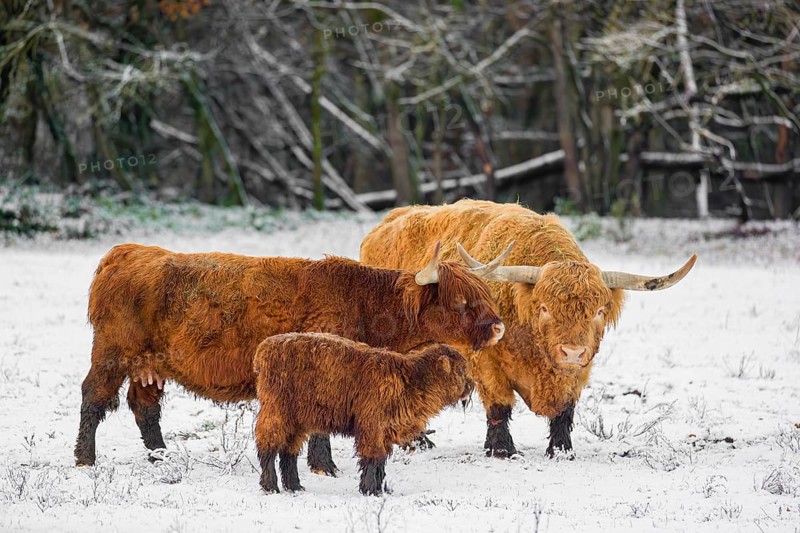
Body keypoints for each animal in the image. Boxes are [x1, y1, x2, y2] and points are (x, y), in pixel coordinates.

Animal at [74, 242, 508, 468]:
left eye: (484, 294)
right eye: (461, 301)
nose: (498, 327)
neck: (366, 305)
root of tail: (128, 251)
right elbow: (319, 428)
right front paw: (325, 467)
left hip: (150, 364)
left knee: (144, 406)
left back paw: (161, 456)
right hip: (112, 352)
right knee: (93, 398)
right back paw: (85, 458)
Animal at [254, 333, 470, 495]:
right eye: (461, 369)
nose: (470, 385)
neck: (410, 381)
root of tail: (265, 347)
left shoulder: (385, 431)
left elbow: (381, 461)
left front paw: (381, 490)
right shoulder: (372, 427)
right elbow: (373, 458)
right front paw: (370, 490)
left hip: (296, 421)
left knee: (288, 451)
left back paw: (295, 486)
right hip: (277, 412)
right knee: (268, 447)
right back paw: (271, 486)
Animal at [359, 199, 697, 458]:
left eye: (599, 311)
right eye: (544, 308)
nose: (571, 352)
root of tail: (382, 226)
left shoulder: (579, 372)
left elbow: (565, 411)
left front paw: (561, 450)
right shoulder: (486, 363)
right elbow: (499, 406)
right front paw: (502, 450)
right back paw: (417, 442)